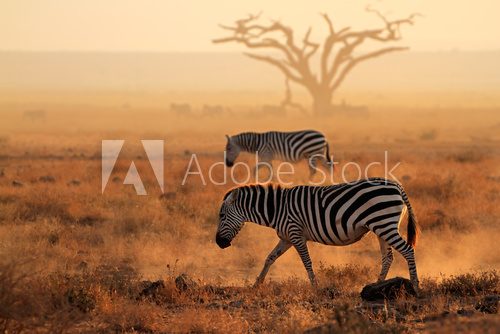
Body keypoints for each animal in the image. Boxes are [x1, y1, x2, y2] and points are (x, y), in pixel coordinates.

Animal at [217, 177, 420, 290]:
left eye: (221, 216)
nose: (219, 243)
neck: (277, 209)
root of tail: (397, 185)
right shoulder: (286, 238)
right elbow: (269, 258)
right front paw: (257, 283)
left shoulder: (296, 234)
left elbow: (307, 262)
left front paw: (315, 287)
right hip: (381, 227)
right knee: (388, 257)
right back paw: (376, 285)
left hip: (384, 223)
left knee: (408, 250)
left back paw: (415, 285)